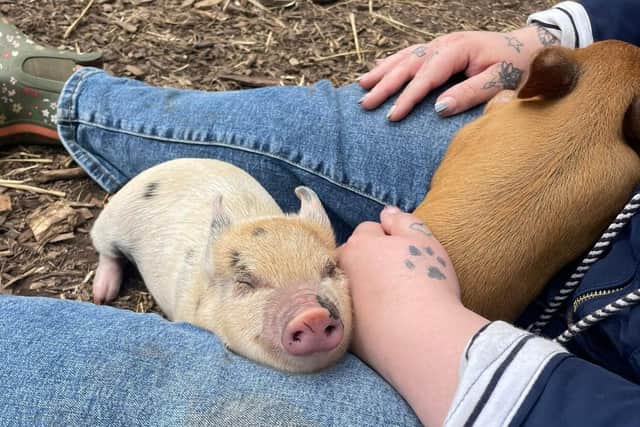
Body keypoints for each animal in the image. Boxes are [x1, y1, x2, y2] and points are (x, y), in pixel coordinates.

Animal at [90, 158, 352, 373]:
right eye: (245, 281)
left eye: (330, 269)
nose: (313, 314)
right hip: (112, 221)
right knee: (105, 250)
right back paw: (102, 295)